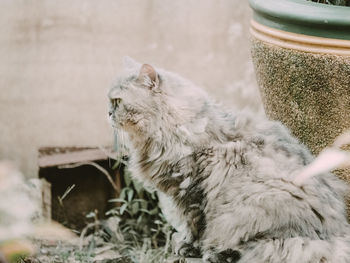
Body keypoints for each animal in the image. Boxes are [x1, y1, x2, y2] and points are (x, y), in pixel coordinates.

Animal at [107, 58, 350, 263]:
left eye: (117, 101)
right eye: (110, 102)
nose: (108, 113)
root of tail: (334, 235)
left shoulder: (189, 191)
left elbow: (193, 226)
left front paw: (188, 246)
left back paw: (218, 254)